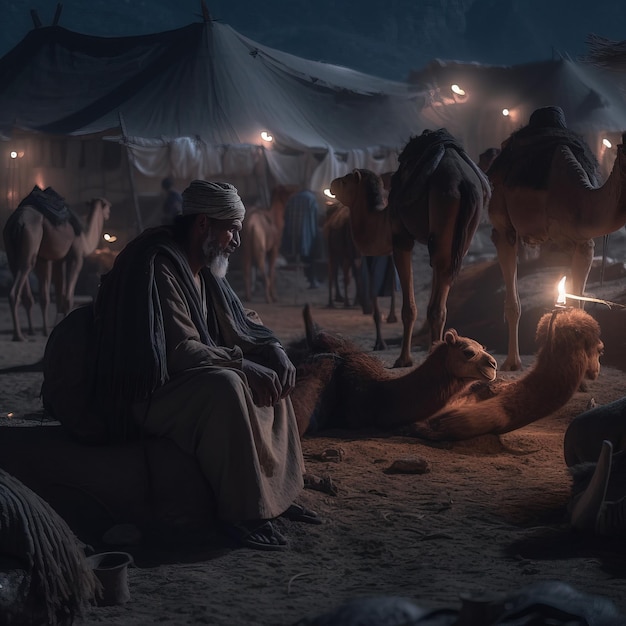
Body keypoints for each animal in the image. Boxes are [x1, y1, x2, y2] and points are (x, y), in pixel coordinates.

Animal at [3, 191, 111, 342]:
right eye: (107, 205)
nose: (109, 213)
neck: (85, 238)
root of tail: (17, 221)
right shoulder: (75, 257)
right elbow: (67, 297)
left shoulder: (50, 260)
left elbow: (51, 296)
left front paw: (49, 329)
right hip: (30, 241)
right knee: (19, 280)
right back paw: (18, 335)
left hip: (11, 249)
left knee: (24, 285)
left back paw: (30, 331)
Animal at [330, 129, 490, 368]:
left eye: (347, 179)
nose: (332, 183)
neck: (383, 216)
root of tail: (464, 183)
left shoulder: (400, 239)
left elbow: (409, 308)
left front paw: (404, 359)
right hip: (460, 237)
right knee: (441, 299)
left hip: (444, 206)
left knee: (435, 308)